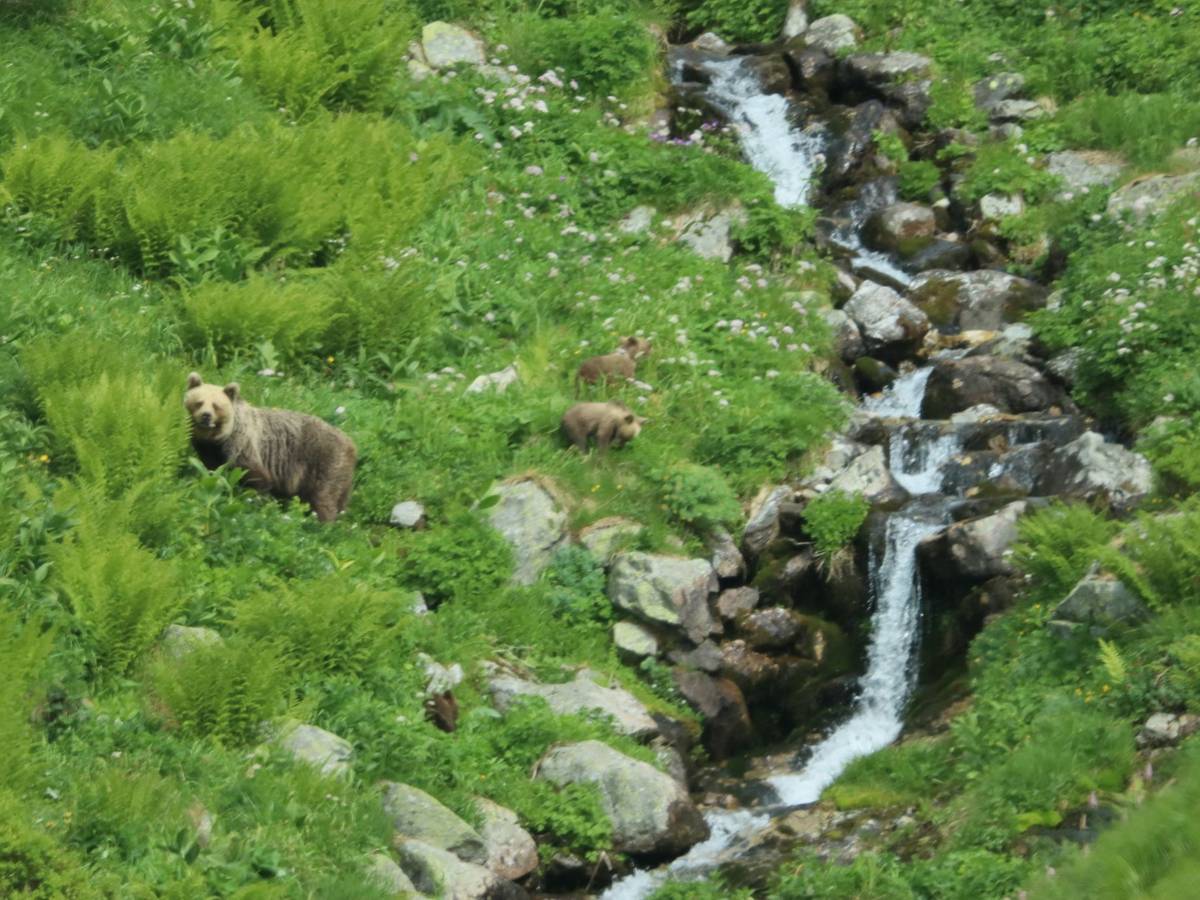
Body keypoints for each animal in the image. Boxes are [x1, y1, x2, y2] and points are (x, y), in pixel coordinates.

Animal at [184, 372, 357, 523]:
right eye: (199, 402)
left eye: (216, 405)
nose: (206, 416)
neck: (218, 437)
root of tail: (351, 444)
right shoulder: (207, 449)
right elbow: (211, 470)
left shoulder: (242, 444)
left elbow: (255, 475)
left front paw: (256, 503)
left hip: (325, 462)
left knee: (323, 496)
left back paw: (322, 523)